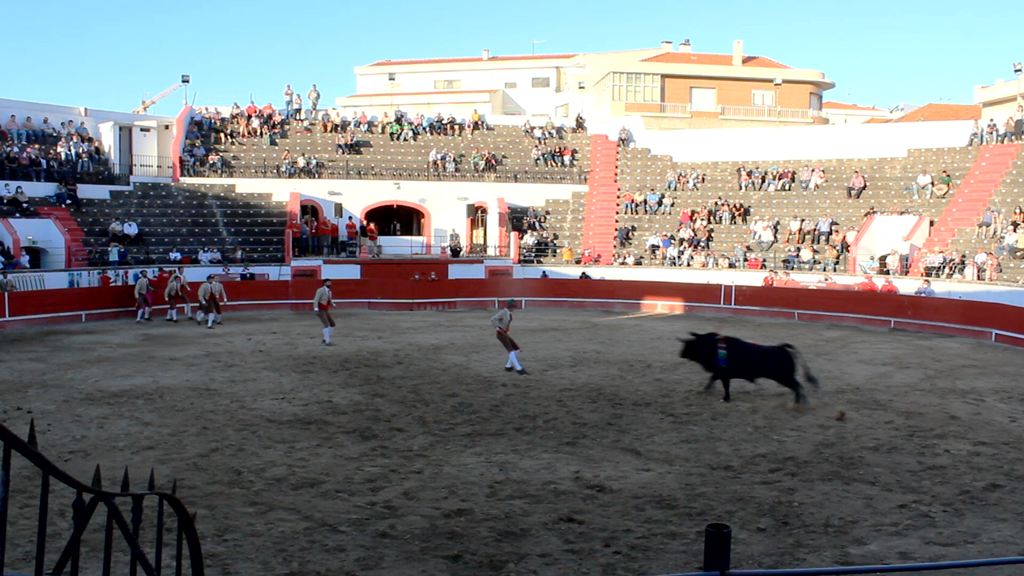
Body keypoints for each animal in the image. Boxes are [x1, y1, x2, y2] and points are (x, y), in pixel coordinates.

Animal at [675, 330, 819, 401]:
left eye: (689, 344)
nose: (680, 354)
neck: (712, 346)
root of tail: (781, 347)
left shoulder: (723, 373)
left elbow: (724, 385)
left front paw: (725, 398)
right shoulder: (720, 373)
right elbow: (713, 380)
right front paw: (708, 390)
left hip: (784, 377)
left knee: (797, 387)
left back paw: (798, 402)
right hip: (785, 377)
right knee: (798, 387)